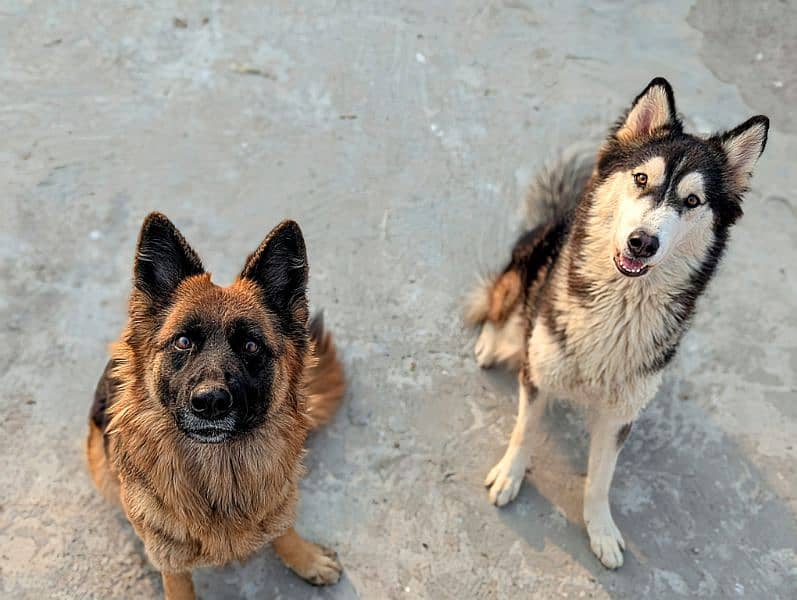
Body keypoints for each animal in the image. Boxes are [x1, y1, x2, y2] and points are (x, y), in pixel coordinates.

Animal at [87, 213, 346, 600]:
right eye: (183, 342)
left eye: (251, 346)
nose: (210, 402)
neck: (220, 472)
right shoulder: (171, 561)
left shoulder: (278, 499)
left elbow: (282, 527)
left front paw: (305, 558)